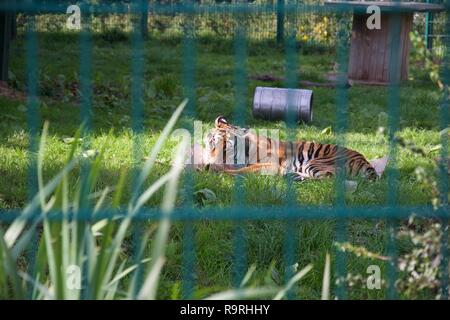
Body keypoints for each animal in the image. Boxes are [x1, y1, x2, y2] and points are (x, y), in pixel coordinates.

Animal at [205, 115, 380, 181]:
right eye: (208, 145)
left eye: (220, 145)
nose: (208, 162)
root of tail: (365, 160)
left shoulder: (271, 165)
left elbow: (242, 170)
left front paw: (216, 169)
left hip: (316, 163)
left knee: (329, 177)